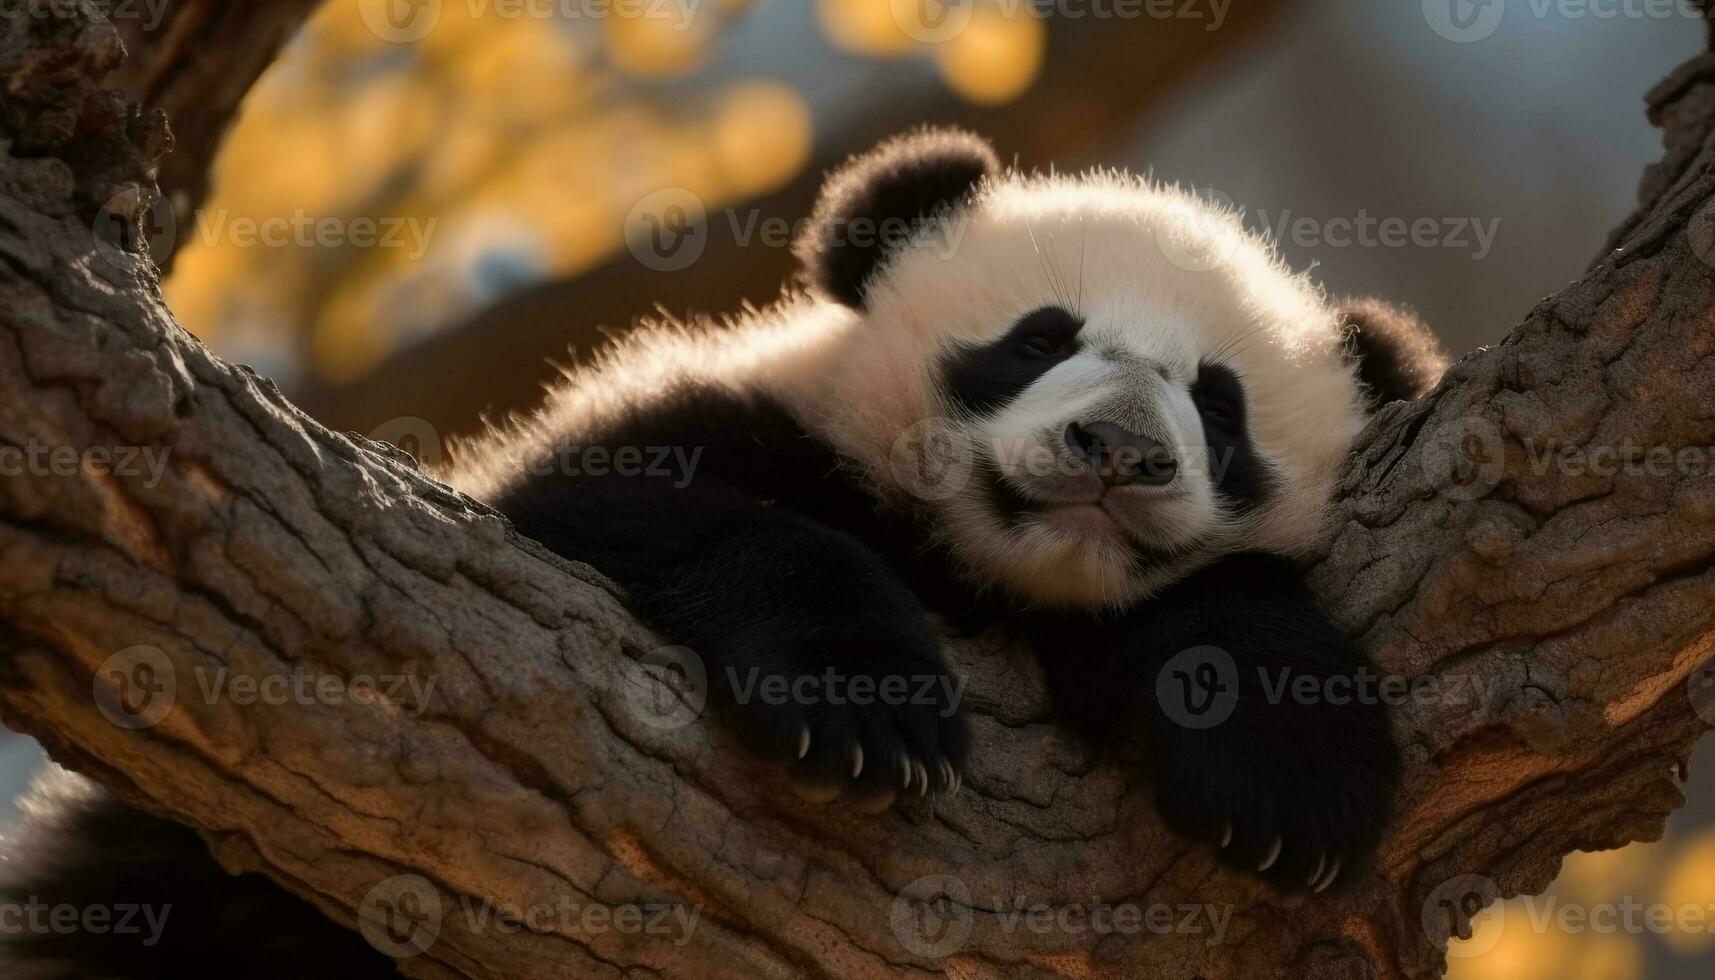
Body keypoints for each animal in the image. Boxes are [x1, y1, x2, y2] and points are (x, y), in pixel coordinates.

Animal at [0, 128, 1447, 974]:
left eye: (1219, 408)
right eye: (1039, 336)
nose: (1116, 450)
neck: (974, 569)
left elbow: (1227, 617)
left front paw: (1280, 782)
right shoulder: (701, 436)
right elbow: (638, 517)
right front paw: (862, 710)